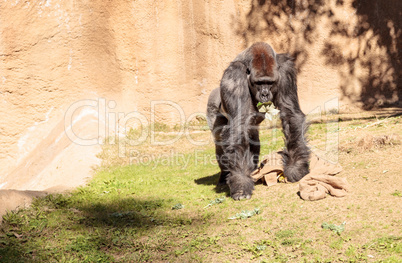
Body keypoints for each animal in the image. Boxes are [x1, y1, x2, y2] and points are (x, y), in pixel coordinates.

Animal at [206, 42, 310, 200]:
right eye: (259, 83)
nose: (265, 94)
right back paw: (224, 176)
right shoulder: (234, 75)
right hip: (212, 105)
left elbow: (290, 113)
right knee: (220, 139)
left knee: (253, 138)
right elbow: (239, 124)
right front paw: (241, 182)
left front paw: (296, 166)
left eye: (270, 82)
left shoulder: (286, 70)